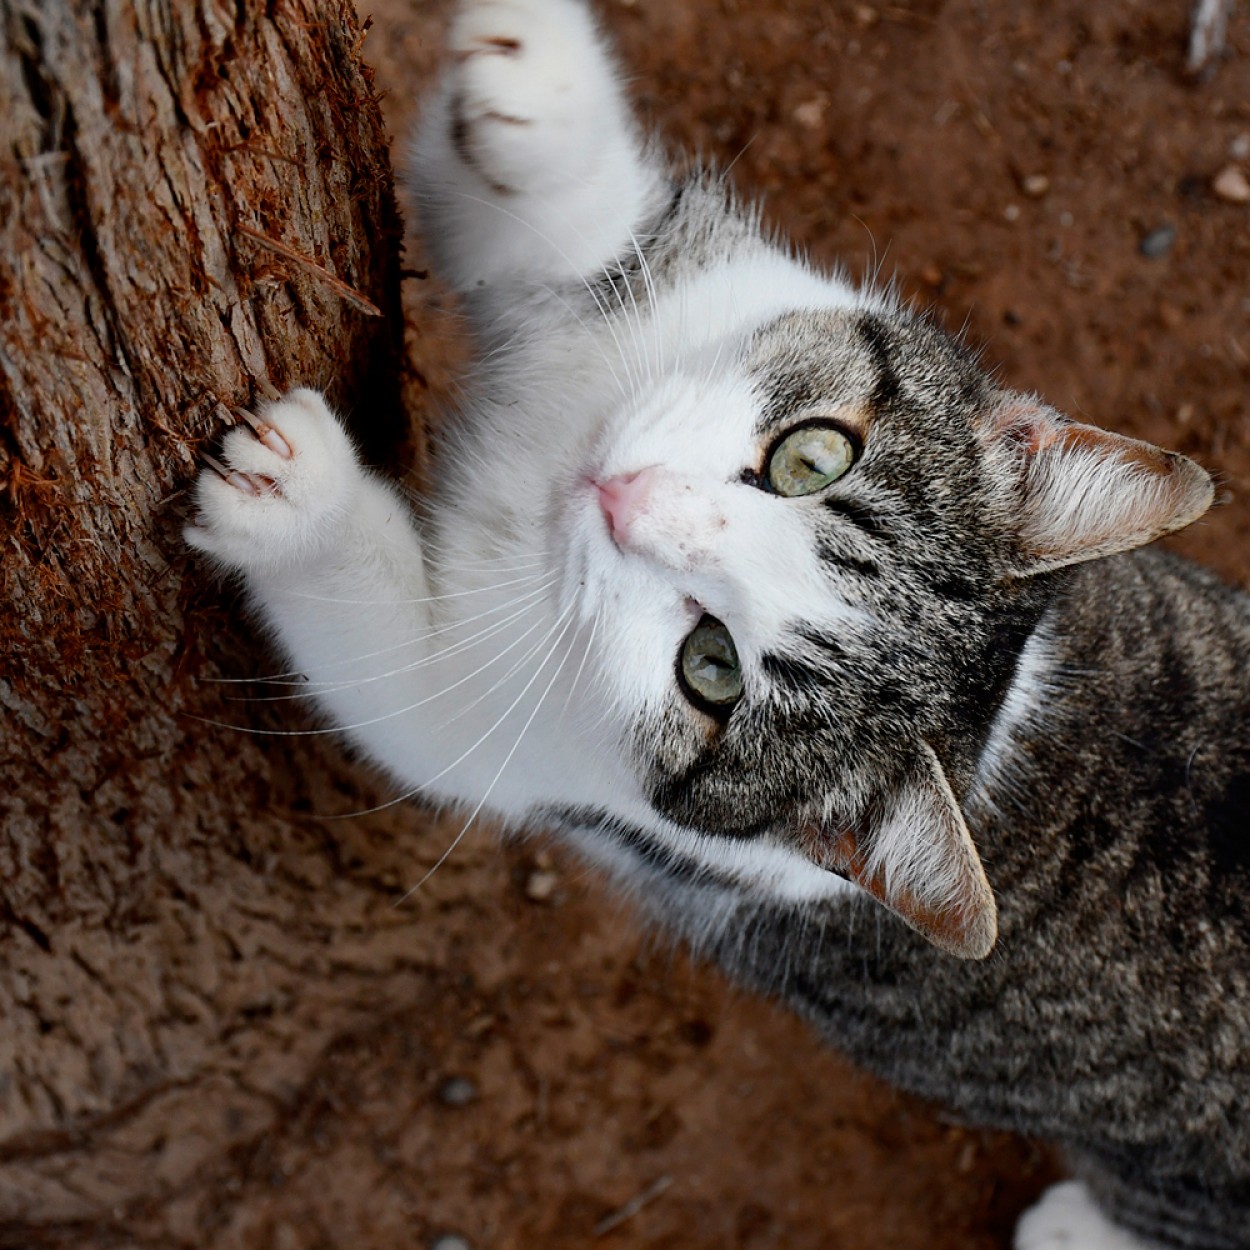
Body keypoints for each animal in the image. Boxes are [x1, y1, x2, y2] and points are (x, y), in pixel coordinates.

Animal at [187, 4, 1250, 1245]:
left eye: (710, 671)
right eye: (811, 454)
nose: (623, 497)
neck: (558, 446)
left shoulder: (509, 740)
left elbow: (394, 679)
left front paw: (292, 497)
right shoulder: (705, 281)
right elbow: (579, 231)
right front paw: (534, 92)